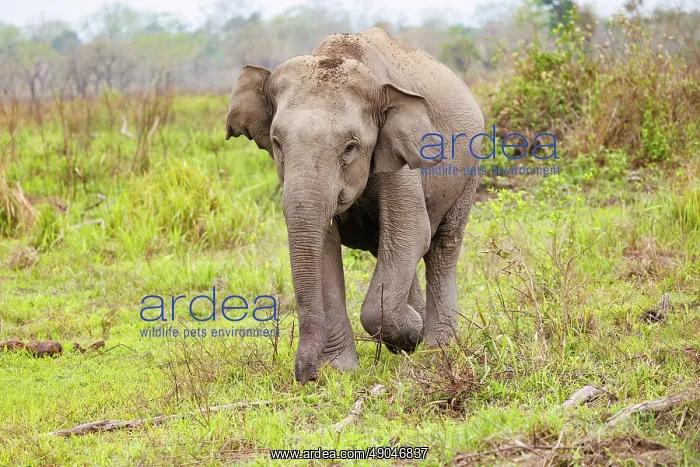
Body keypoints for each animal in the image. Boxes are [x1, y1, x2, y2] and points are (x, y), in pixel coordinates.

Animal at [225, 27, 484, 383]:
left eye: (350, 147)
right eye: (277, 143)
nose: (305, 375)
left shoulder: (401, 156)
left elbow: (411, 232)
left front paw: (410, 336)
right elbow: (326, 249)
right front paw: (340, 370)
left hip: (471, 168)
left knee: (442, 244)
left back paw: (435, 347)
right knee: (388, 248)